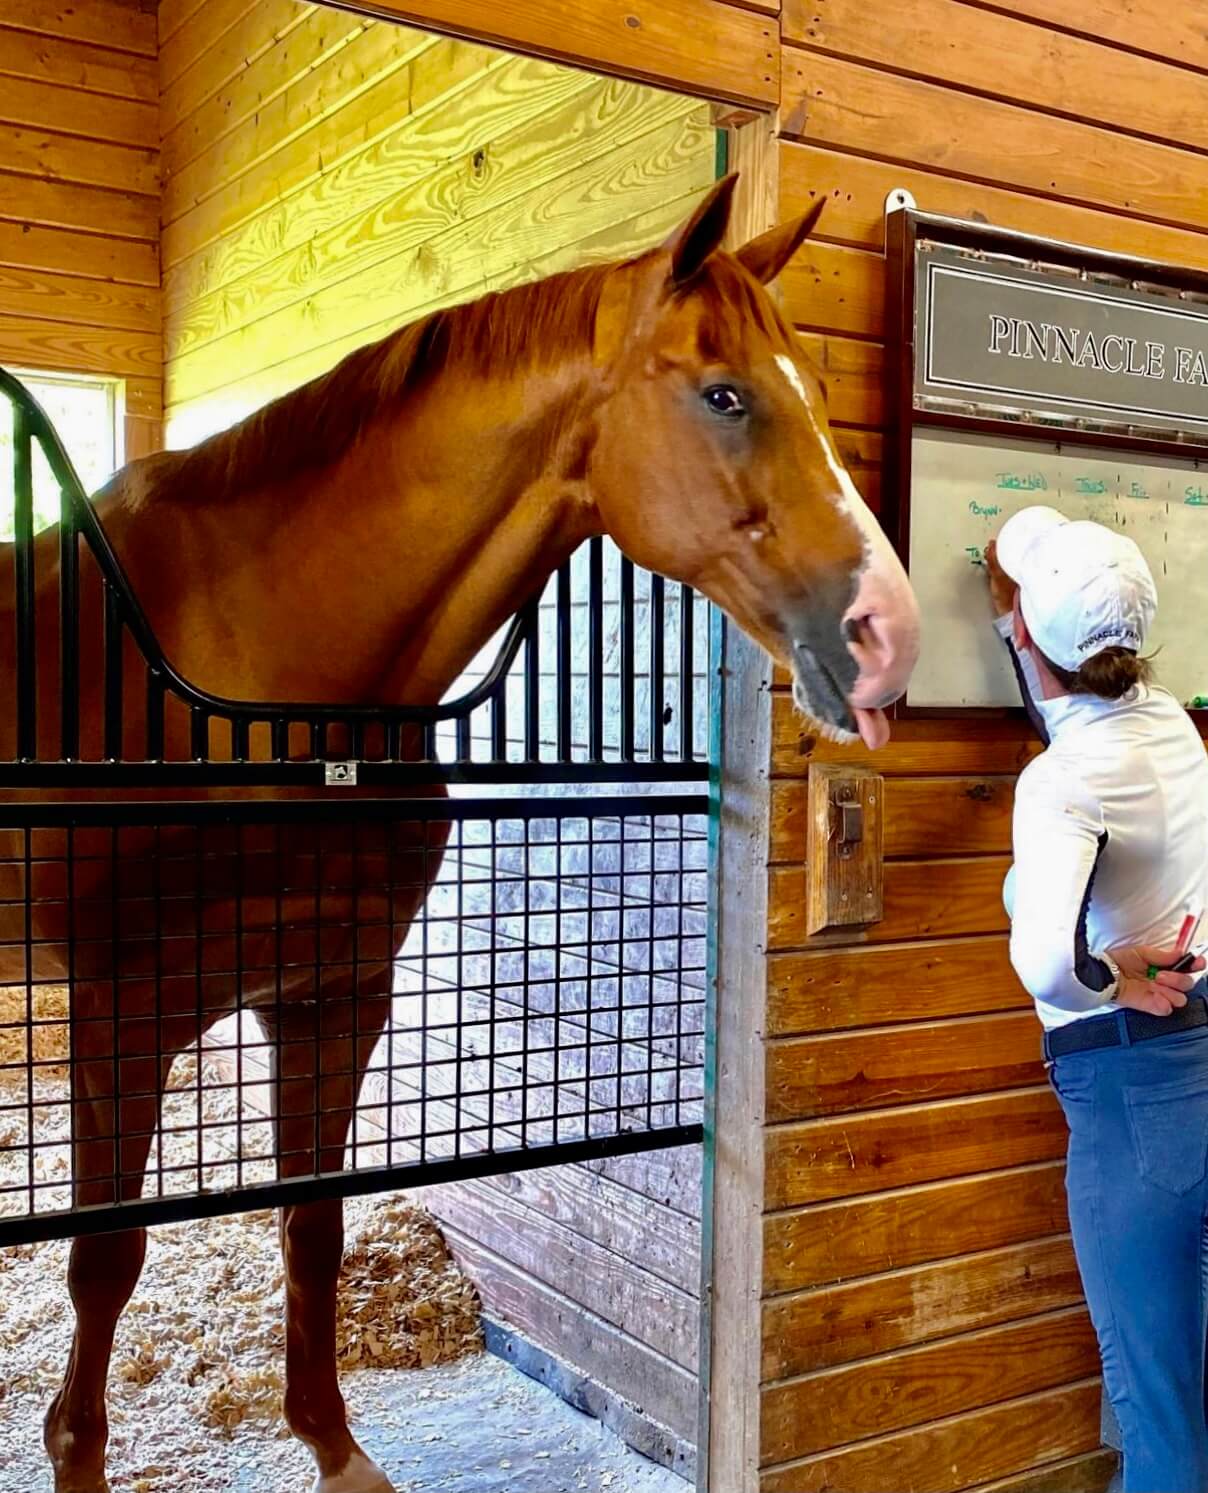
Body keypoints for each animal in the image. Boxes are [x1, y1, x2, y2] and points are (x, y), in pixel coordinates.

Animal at [7, 177, 913, 1493]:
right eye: (724, 394)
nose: (889, 629)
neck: (266, 678)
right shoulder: (122, 1015)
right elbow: (102, 1259)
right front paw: (77, 1457)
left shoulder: (333, 994)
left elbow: (312, 1222)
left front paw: (334, 1444)